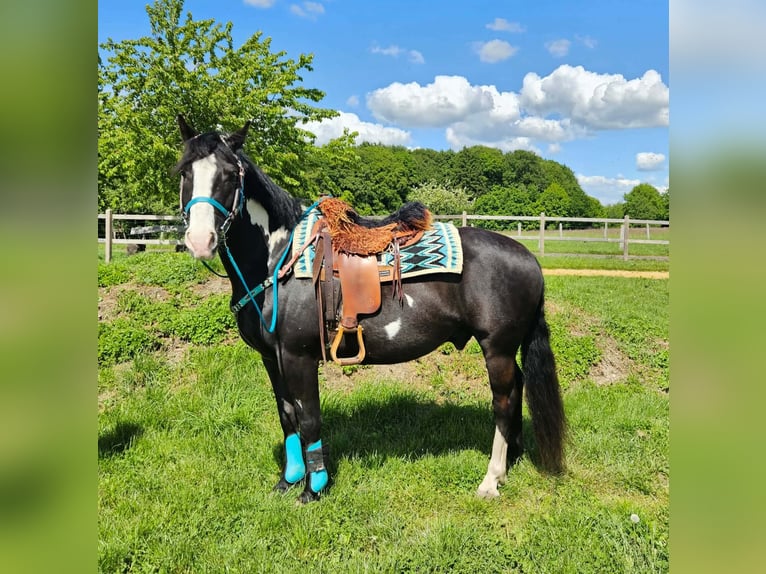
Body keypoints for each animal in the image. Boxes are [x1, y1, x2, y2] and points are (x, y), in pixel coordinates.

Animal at [174, 115, 566, 504]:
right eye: (183, 172)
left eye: (229, 174)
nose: (200, 240)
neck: (280, 258)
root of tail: (529, 258)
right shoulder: (272, 357)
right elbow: (287, 416)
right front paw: (287, 482)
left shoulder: (298, 356)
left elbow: (308, 418)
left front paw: (313, 489)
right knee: (517, 388)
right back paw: (511, 459)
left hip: (497, 349)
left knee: (503, 401)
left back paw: (491, 479)